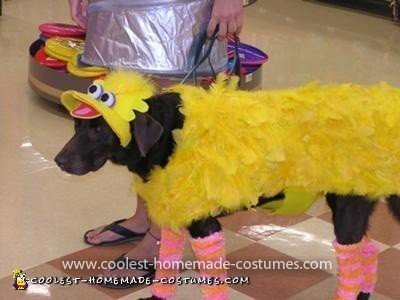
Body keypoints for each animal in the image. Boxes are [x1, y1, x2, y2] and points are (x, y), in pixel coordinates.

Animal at [54, 92, 400, 298]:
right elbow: (165, 274)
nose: (59, 161)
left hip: (346, 211)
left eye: (100, 130)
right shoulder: (174, 221)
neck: (167, 135)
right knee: (368, 251)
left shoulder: (205, 227)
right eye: (76, 126)